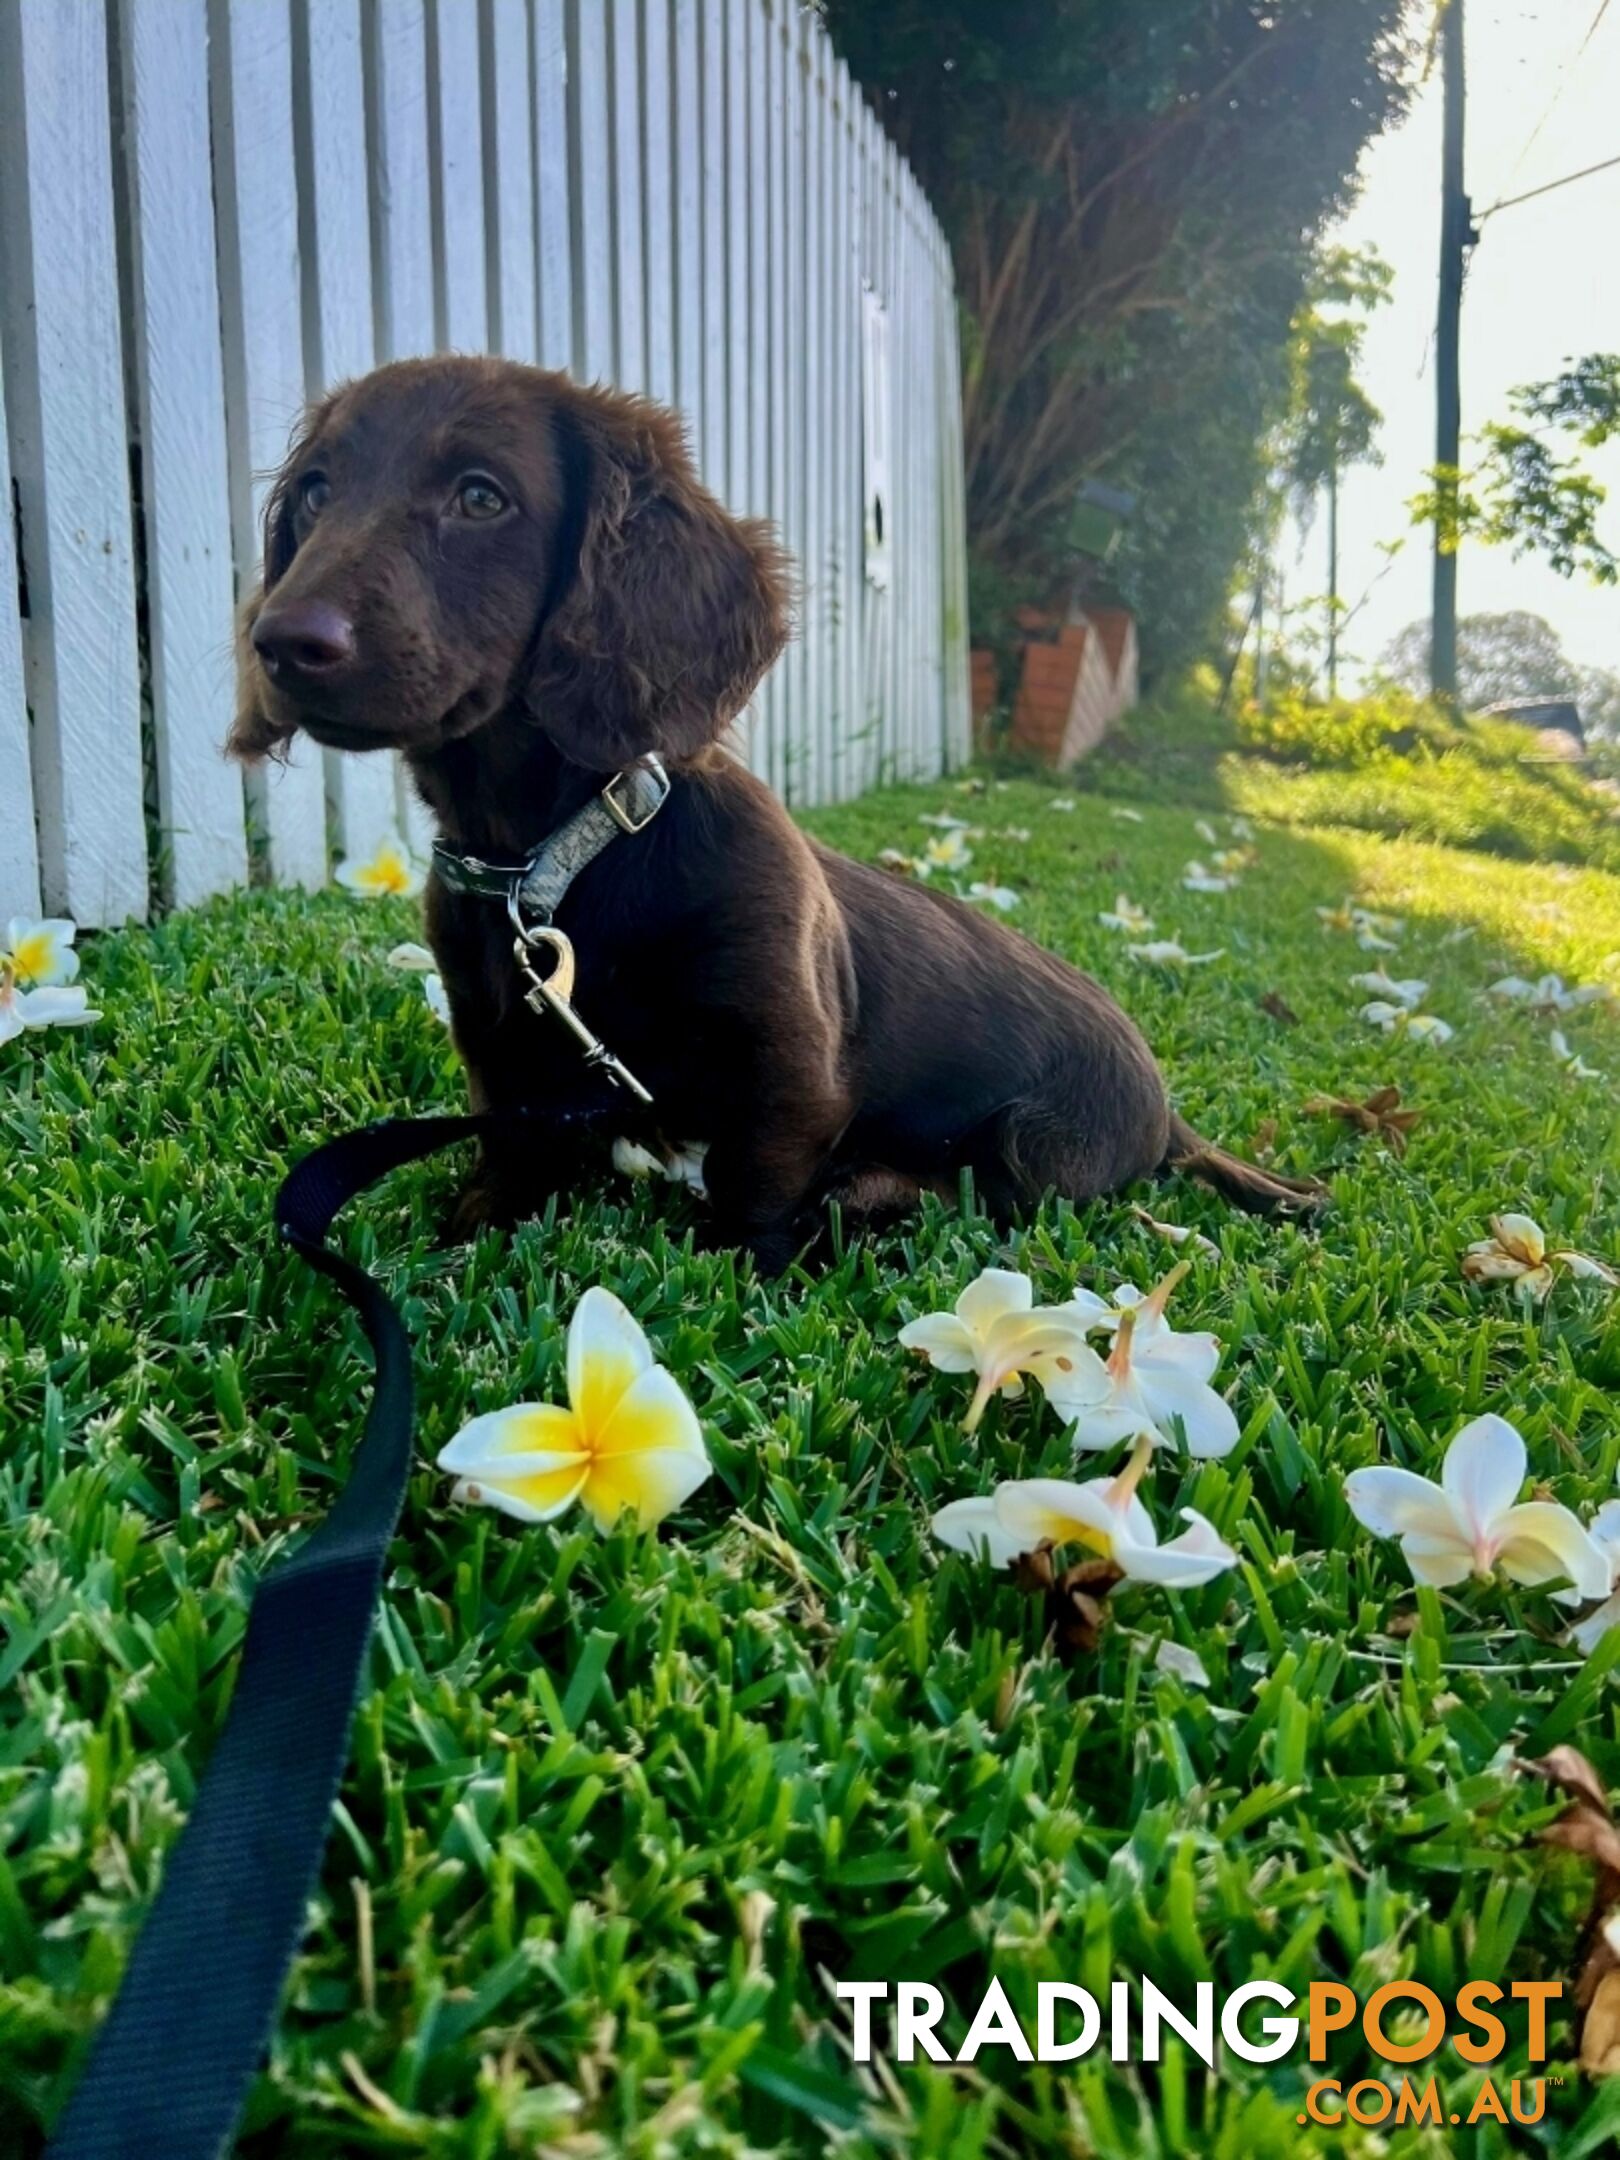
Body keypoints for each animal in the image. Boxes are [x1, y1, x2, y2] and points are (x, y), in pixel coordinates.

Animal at [231, 352, 1321, 1261]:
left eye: (480, 496)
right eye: (315, 492)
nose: (281, 642)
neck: (552, 862)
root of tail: (1165, 1110)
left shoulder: (791, 1059)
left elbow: (752, 1188)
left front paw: (732, 1271)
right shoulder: (501, 1052)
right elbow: (510, 1154)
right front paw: (472, 1227)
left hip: (1039, 1142)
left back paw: (880, 1193)